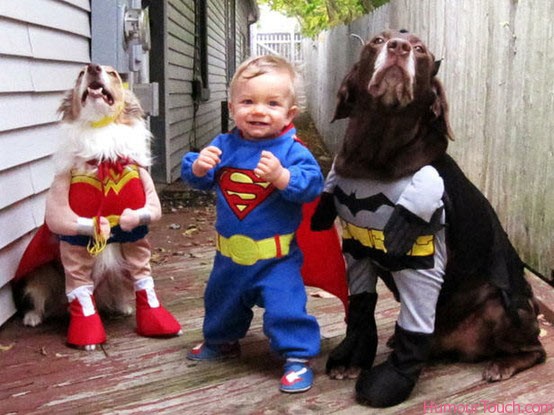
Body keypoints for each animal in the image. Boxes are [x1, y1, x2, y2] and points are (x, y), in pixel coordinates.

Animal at [14, 63, 181, 350]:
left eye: (112, 73)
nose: (92, 67)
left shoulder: (136, 238)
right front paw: (87, 335)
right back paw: (34, 317)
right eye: (80, 74)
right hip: (41, 272)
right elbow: (81, 291)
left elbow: (143, 279)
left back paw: (122, 305)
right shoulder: (72, 243)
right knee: (40, 296)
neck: (101, 137)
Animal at [310, 30, 544, 410]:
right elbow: (361, 308)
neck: (375, 156)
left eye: (421, 50)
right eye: (377, 41)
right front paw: (351, 358)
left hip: (504, 306)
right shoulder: (357, 251)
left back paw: (502, 365)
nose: (400, 47)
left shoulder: (423, 259)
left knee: (536, 349)